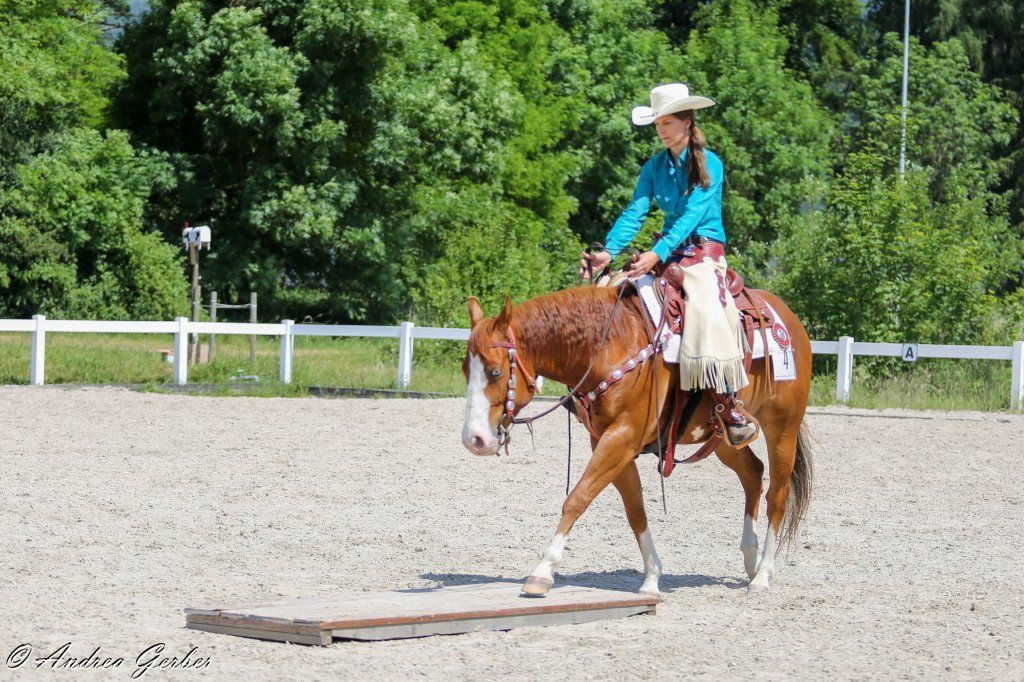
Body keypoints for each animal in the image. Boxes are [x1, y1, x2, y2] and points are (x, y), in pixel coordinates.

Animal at [460, 283, 814, 595]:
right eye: (466, 370)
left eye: (495, 371)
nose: (474, 438)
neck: (610, 347)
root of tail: (788, 318)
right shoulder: (611, 444)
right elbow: (635, 510)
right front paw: (652, 577)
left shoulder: (621, 439)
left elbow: (577, 498)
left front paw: (542, 571)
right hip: (723, 440)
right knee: (753, 473)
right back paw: (751, 559)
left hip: (782, 430)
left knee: (777, 496)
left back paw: (762, 575)